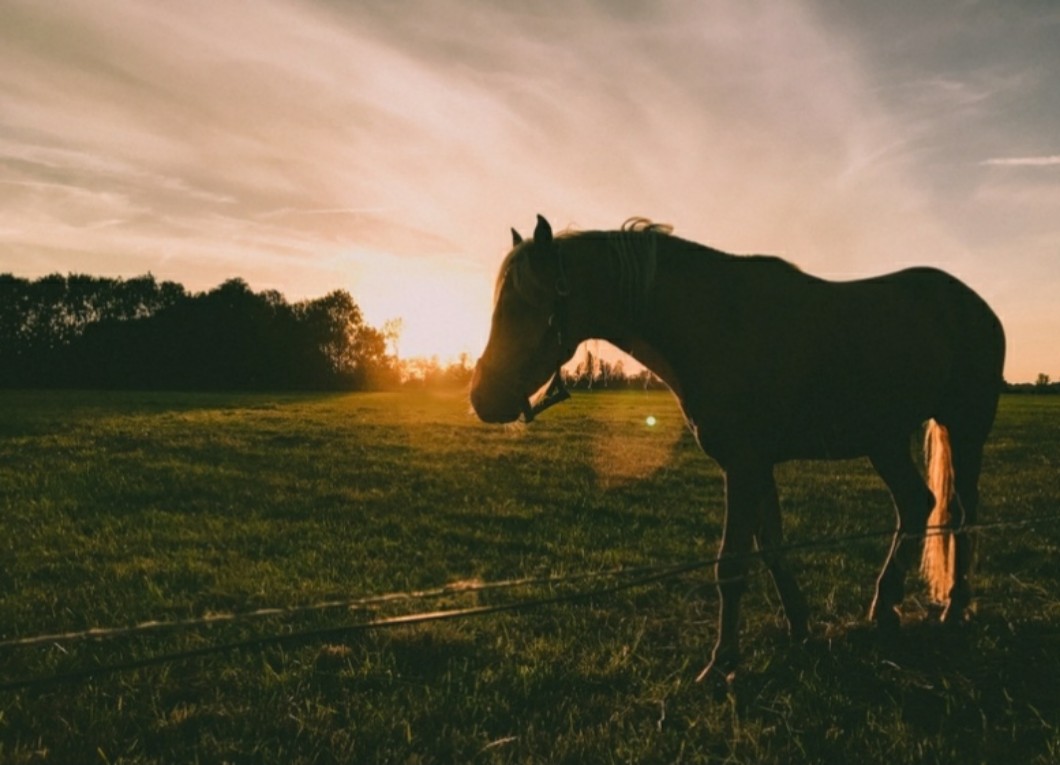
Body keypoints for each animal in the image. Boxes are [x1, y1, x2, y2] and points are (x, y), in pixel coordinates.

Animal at [470, 214, 1006, 687]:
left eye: (522, 306)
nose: (482, 398)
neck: (716, 323)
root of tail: (976, 305)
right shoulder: (757, 466)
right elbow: (770, 548)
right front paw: (800, 628)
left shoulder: (743, 465)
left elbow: (730, 565)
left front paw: (722, 663)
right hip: (886, 440)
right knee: (917, 505)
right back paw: (886, 608)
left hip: (964, 429)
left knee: (961, 515)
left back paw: (954, 608)